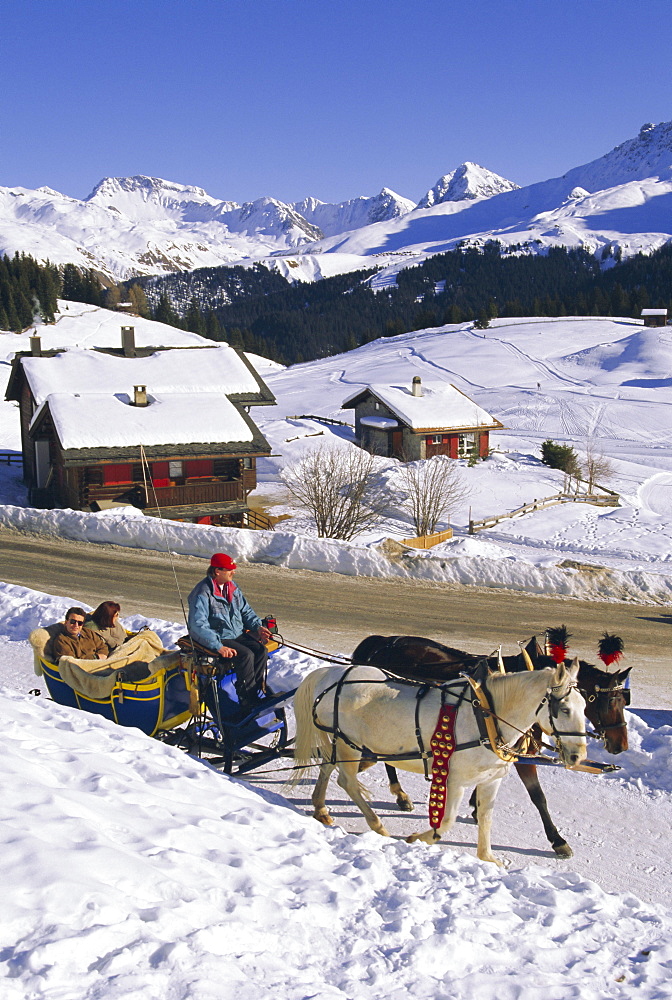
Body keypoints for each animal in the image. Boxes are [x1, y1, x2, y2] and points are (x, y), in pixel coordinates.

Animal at [292, 660, 584, 864]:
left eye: (585, 708)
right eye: (564, 709)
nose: (579, 756)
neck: (486, 716)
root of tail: (331, 674)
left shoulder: (490, 780)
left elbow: (486, 818)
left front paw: (487, 857)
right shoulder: (454, 779)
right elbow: (447, 821)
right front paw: (416, 839)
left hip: (338, 740)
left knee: (327, 767)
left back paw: (321, 808)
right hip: (348, 744)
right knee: (347, 781)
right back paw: (377, 825)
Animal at [352, 628, 632, 856]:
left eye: (623, 701)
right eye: (609, 701)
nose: (621, 746)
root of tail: (382, 642)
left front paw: (475, 807)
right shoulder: (518, 756)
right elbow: (538, 796)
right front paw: (557, 840)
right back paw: (398, 792)